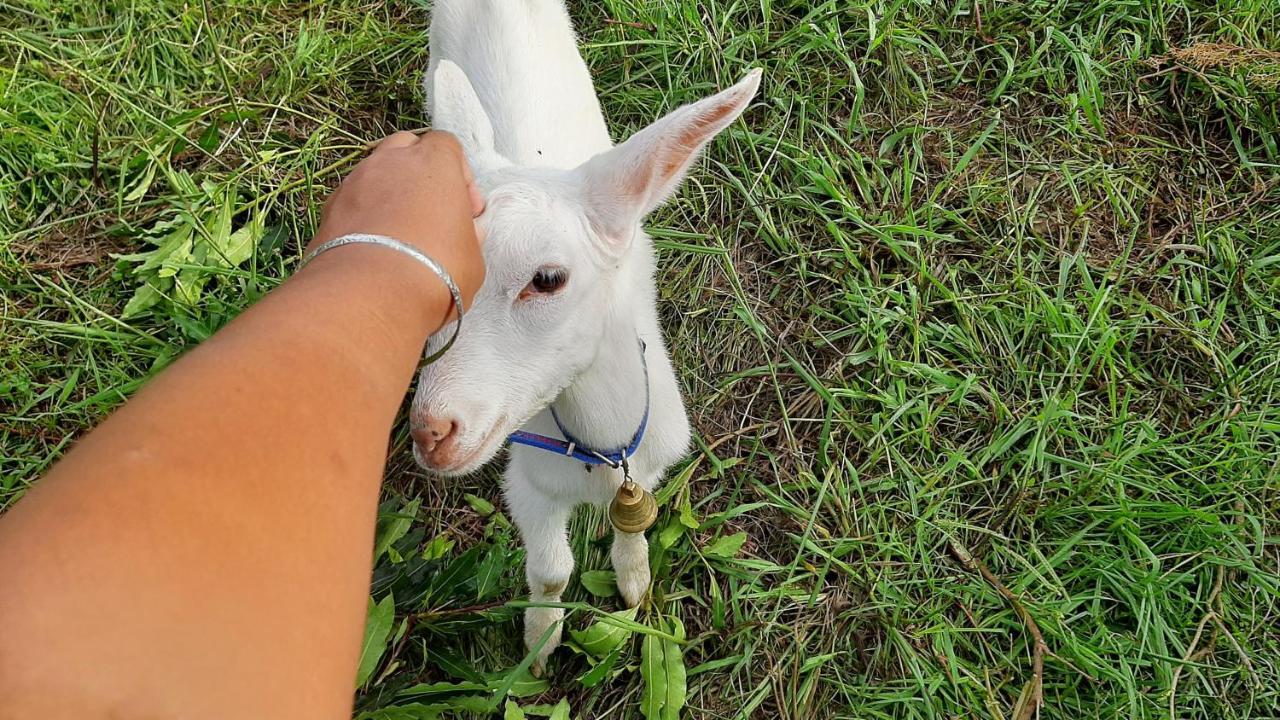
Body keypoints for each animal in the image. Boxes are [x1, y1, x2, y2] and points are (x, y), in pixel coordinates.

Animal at [409, 1, 752, 671]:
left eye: (548, 278)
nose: (431, 431)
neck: (602, 448)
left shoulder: (650, 463)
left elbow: (632, 528)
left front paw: (635, 586)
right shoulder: (530, 481)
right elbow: (551, 571)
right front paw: (539, 646)